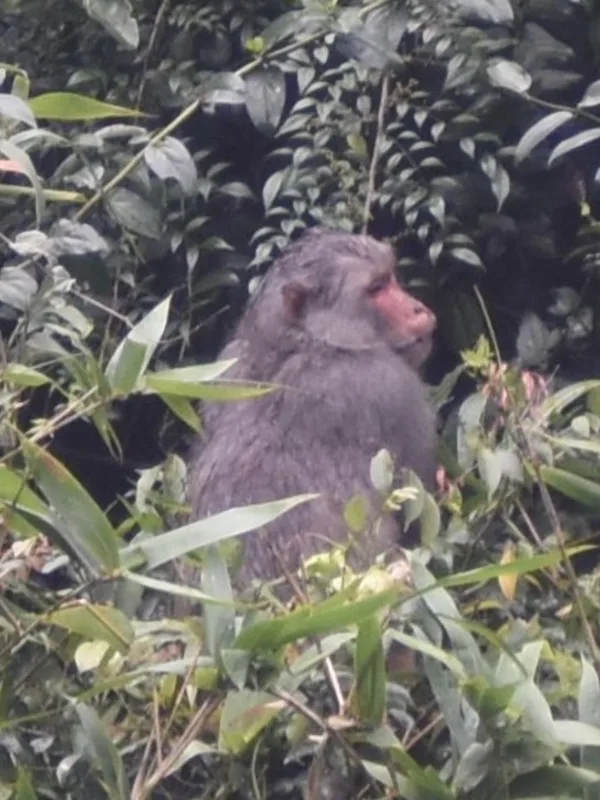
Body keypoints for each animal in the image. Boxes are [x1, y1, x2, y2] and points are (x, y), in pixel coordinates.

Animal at [187, 227, 437, 588]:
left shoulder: (224, 368)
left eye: (390, 278)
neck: (297, 343)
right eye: (376, 288)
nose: (418, 309)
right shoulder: (387, 385)